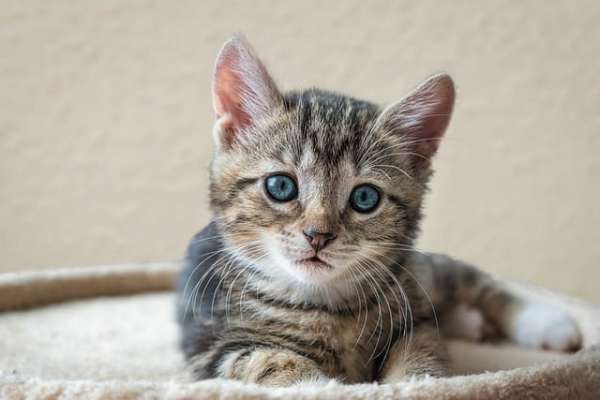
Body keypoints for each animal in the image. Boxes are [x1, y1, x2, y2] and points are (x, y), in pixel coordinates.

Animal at [176, 36, 584, 386]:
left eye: (364, 198)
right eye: (280, 187)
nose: (318, 235)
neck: (325, 305)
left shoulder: (415, 322)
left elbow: (421, 356)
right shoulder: (212, 346)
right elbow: (272, 361)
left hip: (417, 272)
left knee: (474, 281)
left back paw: (550, 324)